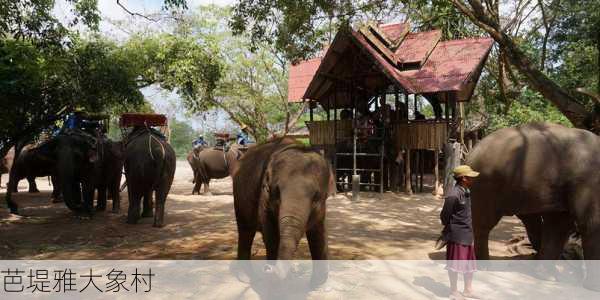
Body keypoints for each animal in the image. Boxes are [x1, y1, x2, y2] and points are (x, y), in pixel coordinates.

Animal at [233, 137, 336, 284]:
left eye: (316, 196)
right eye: (276, 192)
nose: (267, 269)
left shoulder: (321, 208)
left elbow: (318, 232)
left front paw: (316, 284)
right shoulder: (264, 194)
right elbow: (271, 233)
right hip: (239, 194)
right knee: (245, 231)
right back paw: (246, 278)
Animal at [468, 122, 600, 290]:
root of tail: (472, 152)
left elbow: (559, 225)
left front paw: (548, 277)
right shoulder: (589, 181)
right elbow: (591, 224)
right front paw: (594, 287)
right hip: (485, 185)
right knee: (484, 224)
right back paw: (484, 266)